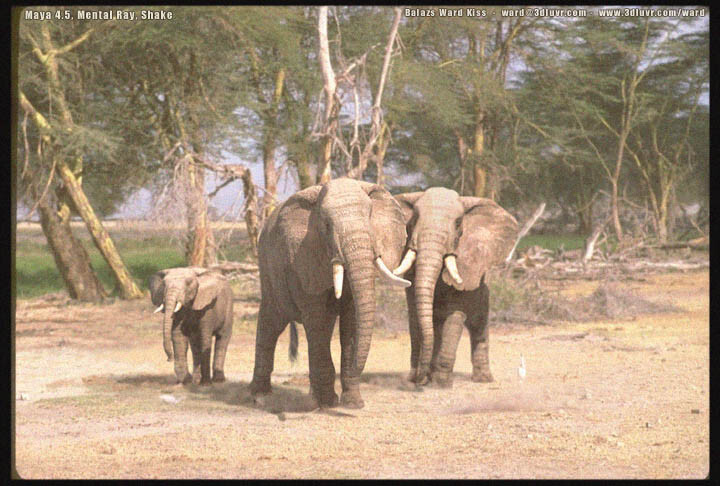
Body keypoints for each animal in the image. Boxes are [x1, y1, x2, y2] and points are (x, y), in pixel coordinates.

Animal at [249, 177, 410, 409]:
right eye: (326, 226)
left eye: (369, 217)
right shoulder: (304, 257)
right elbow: (319, 321)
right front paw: (328, 403)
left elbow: (352, 322)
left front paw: (353, 403)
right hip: (268, 271)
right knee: (271, 323)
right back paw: (260, 397)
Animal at [393, 188, 518, 387]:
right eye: (414, 218)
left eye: (458, 222)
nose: (420, 379)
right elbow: (414, 316)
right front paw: (415, 380)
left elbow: (455, 315)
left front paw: (441, 383)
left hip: (484, 296)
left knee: (478, 327)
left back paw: (483, 380)